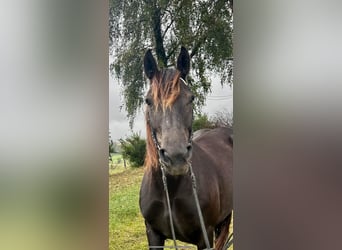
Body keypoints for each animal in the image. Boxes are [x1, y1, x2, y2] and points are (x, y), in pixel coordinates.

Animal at [139, 46, 232, 248]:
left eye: (191, 98)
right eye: (148, 101)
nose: (176, 157)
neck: (170, 191)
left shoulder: (205, 236)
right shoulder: (153, 234)